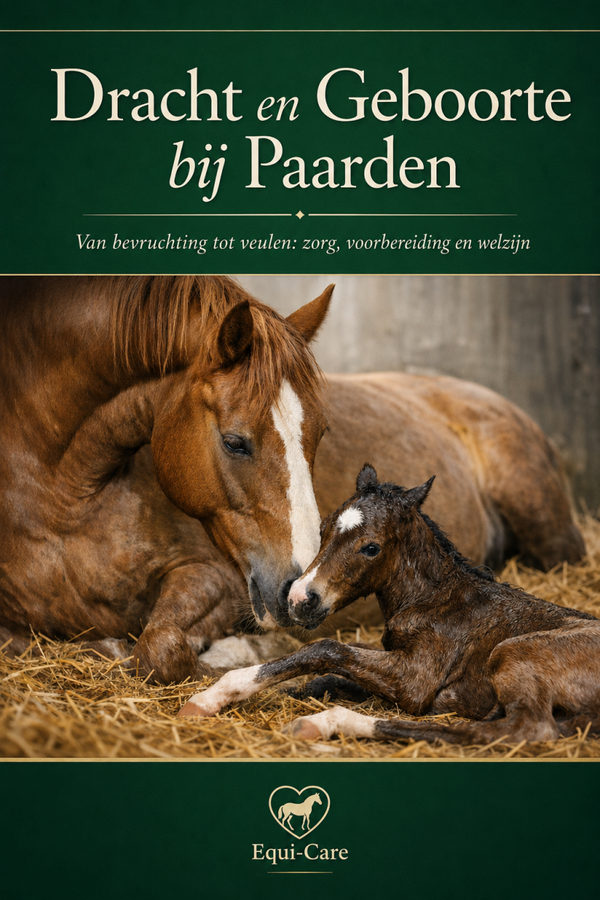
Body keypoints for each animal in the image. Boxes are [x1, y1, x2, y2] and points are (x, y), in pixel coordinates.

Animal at [178, 465, 600, 746]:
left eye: (371, 547)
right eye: (324, 530)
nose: (300, 598)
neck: (436, 600)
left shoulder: (415, 679)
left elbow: (326, 649)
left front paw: (214, 695)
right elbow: (329, 675)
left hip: (514, 652)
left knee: (524, 730)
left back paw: (326, 723)